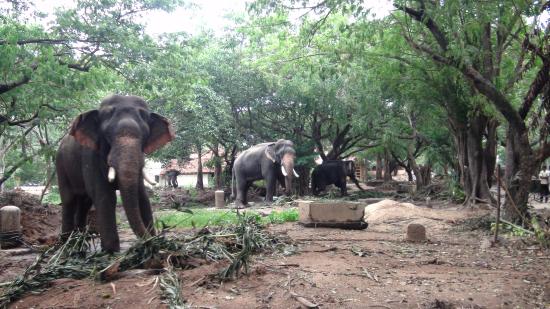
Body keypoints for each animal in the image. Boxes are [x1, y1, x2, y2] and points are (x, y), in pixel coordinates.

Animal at [56, 95, 174, 251]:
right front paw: (111, 250)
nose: (153, 240)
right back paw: (67, 246)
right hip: (60, 165)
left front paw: (153, 242)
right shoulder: (90, 154)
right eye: (107, 135)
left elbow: (142, 196)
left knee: (84, 202)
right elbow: (105, 195)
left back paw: (80, 244)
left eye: (144, 136)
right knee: (69, 200)